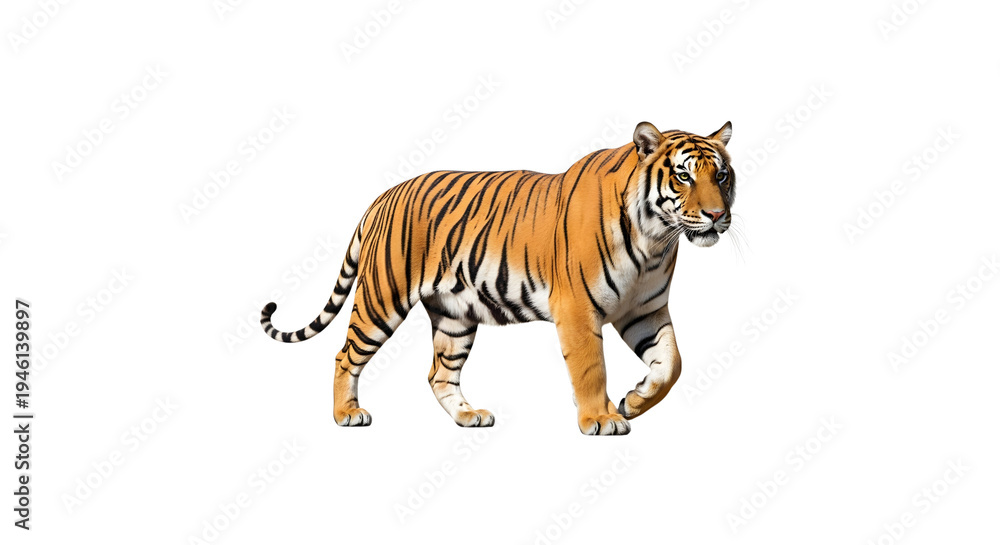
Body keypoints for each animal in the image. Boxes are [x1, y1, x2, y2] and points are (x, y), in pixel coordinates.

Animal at [260, 120, 735, 435]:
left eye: (721, 174)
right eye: (683, 175)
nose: (717, 215)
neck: (656, 239)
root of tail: (384, 196)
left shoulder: (645, 310)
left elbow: (671, 364)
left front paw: (634, 401)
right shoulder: (578, 310)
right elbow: (591, 368)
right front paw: (600, 418)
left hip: (454, 318)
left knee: (439, 373)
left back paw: (468, 416)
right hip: (382, 298)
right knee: (345, 355)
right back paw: (346, 414)